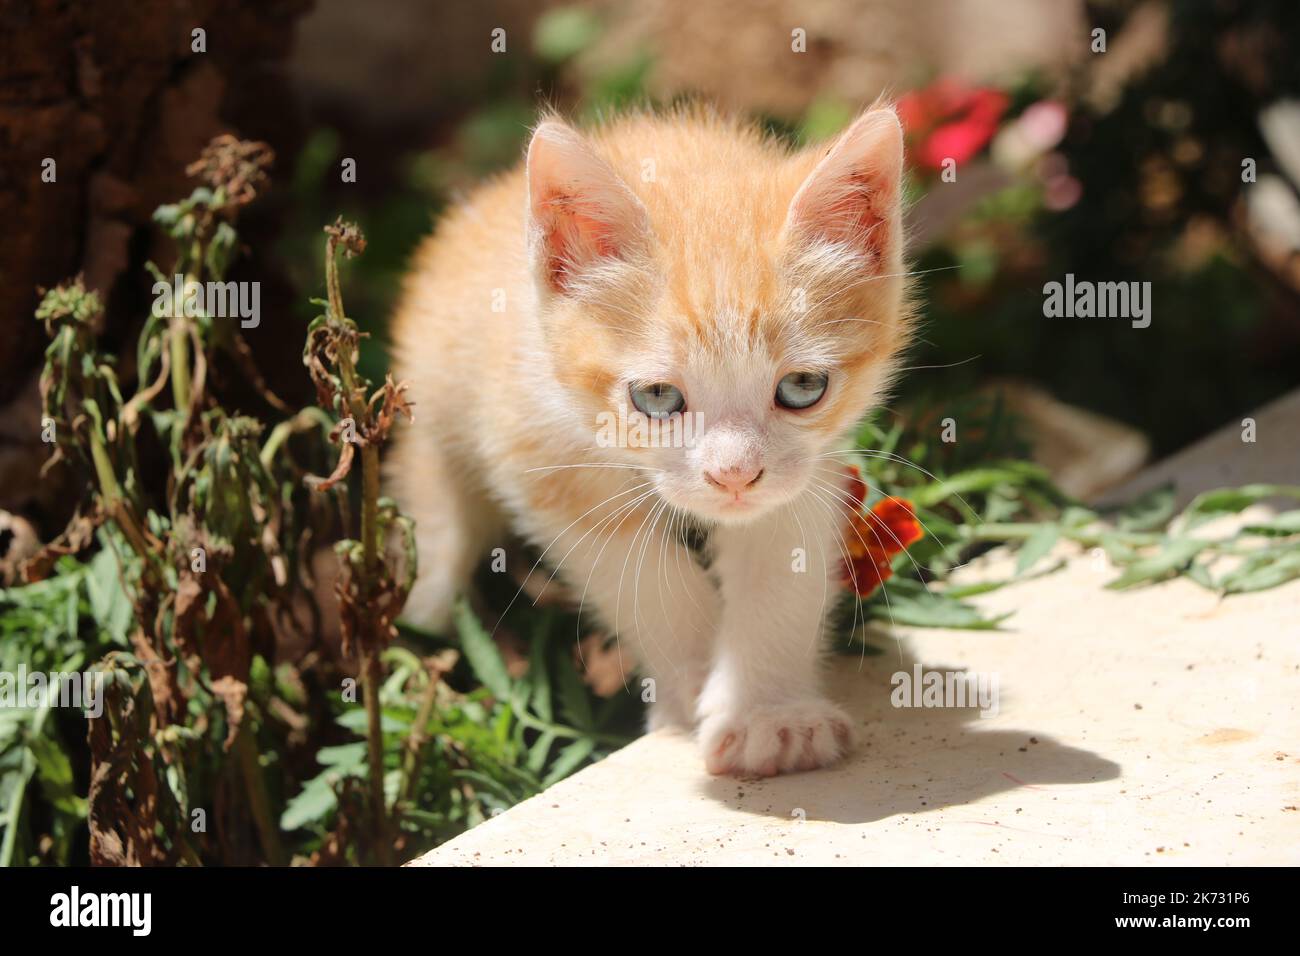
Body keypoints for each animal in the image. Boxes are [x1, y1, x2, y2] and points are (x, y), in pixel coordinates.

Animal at [390, 104, 909, 780]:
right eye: (657, 397)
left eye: (802, 387)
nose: (733, 475)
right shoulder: (536, 449)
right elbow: (641, 578)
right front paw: (691, 684)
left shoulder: (807, 466)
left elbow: (779, 561)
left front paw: (769, 716)